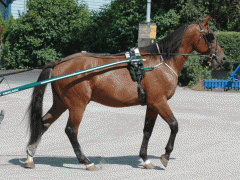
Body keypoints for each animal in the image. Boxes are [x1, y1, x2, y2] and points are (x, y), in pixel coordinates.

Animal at [24, 16, 227, 170]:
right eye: (210, 36)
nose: (222, 59)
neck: (159, 61)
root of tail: (58, 62)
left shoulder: (152, 104)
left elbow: (147, 131)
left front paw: (145, 159)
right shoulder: (160, 101)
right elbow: (174, 125)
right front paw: (165, 155)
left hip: (61, 102)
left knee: (43, 123)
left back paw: (30, 156)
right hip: (77, 104)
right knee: (71, 130)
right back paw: (86, 162)